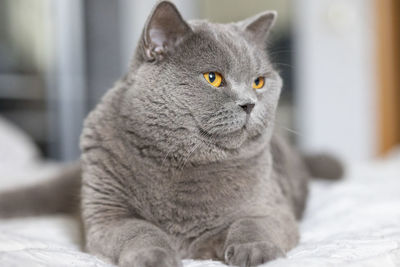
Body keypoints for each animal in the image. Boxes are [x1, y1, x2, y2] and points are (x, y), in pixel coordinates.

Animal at [0, 1, 344, 266]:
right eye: (213, 78)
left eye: (259, 82)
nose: (249, 103)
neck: (182, 161)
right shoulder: (107, 215)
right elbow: (140, 230)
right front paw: (155, 256)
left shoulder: (272, 207)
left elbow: (252, 223)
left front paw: (253, 251)